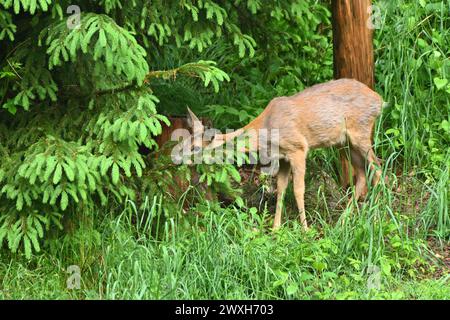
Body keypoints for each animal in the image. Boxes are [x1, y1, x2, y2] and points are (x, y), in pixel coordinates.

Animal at [181, 79, 384, 230]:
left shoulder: (298, 148)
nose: (176, 157)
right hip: (345, 143)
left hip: (361, 131)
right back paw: (343, 221)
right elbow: (281, 189)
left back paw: (377, 218)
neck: (267, 129)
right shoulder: (283, 157)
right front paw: (276, 228)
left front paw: (305, 229)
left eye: (195, 148)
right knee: (363, 174)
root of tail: (379, 100)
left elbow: (298, 189)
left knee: (378, 169)